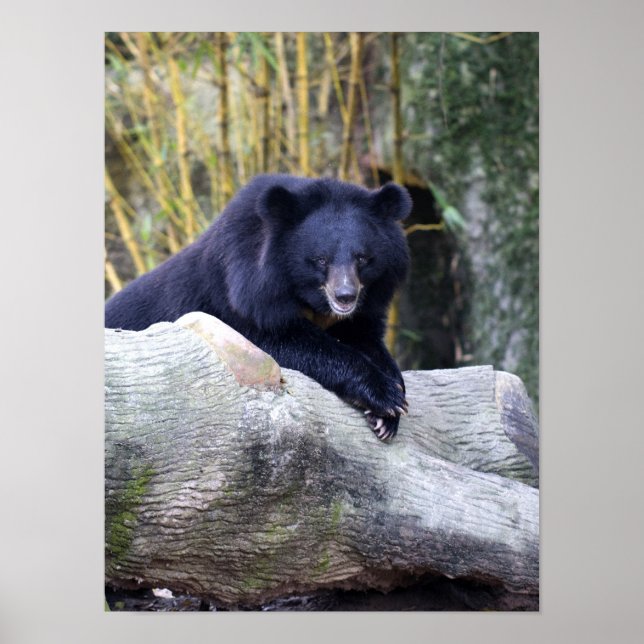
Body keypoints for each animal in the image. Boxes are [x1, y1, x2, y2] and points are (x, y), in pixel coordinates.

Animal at [105, 174, 412, 441]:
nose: (345, 296)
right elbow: (282, 341)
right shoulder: (243, 294)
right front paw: (385, 397)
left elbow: (368, 338)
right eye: (320, 260)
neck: (312, 301)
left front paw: (389, 412)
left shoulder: (366, 303)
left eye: (362, 258)